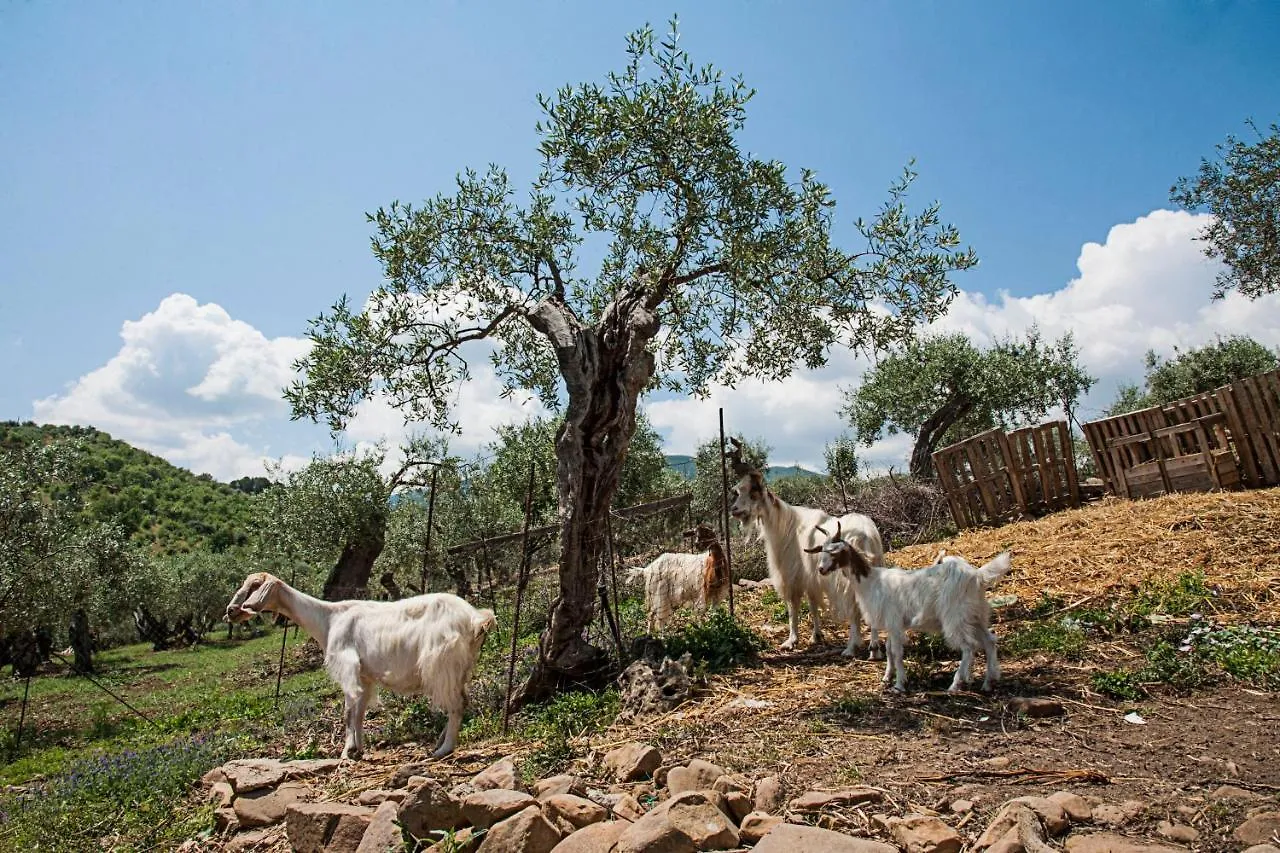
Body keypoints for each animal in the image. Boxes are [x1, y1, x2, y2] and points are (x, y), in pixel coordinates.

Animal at [225, 571, 494, 758]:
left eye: (254, 586)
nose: (231, 611)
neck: (328, 619)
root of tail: (475, 618)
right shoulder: (364, 675)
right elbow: (359, 713)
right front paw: (359, 748)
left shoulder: (347, 667)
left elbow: (347, 712)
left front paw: (346, 752)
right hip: (461, 667)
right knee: (462, 700)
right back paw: (440, 741)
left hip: (442, 664)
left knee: (456, 705)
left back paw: (443, 749)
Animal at [727, 438, 885, 650]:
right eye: (738, 490)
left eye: (753, 490)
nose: (734, 510)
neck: (787, 525)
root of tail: (864, 537)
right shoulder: (811, 577)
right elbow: (813, 603)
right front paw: (816, 635)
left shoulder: (792, 576)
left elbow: (793, 606)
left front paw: (791, 640)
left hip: (847, 580)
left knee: (853, 608)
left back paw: (853, 645)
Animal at [808, 522, 1008, 696]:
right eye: (822, 550)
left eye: (835, 552)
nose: (821, 569)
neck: (871, 581)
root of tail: (976, 576)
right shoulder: (891, 625)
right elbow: (888, 649)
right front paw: (887, 677)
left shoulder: (894, 622)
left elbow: (896, 652)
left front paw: (899, 684)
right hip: (975, 616)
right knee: (990, 640)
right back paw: (988, 682)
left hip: (955, 618)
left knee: (968, 646)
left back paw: (955, 684)